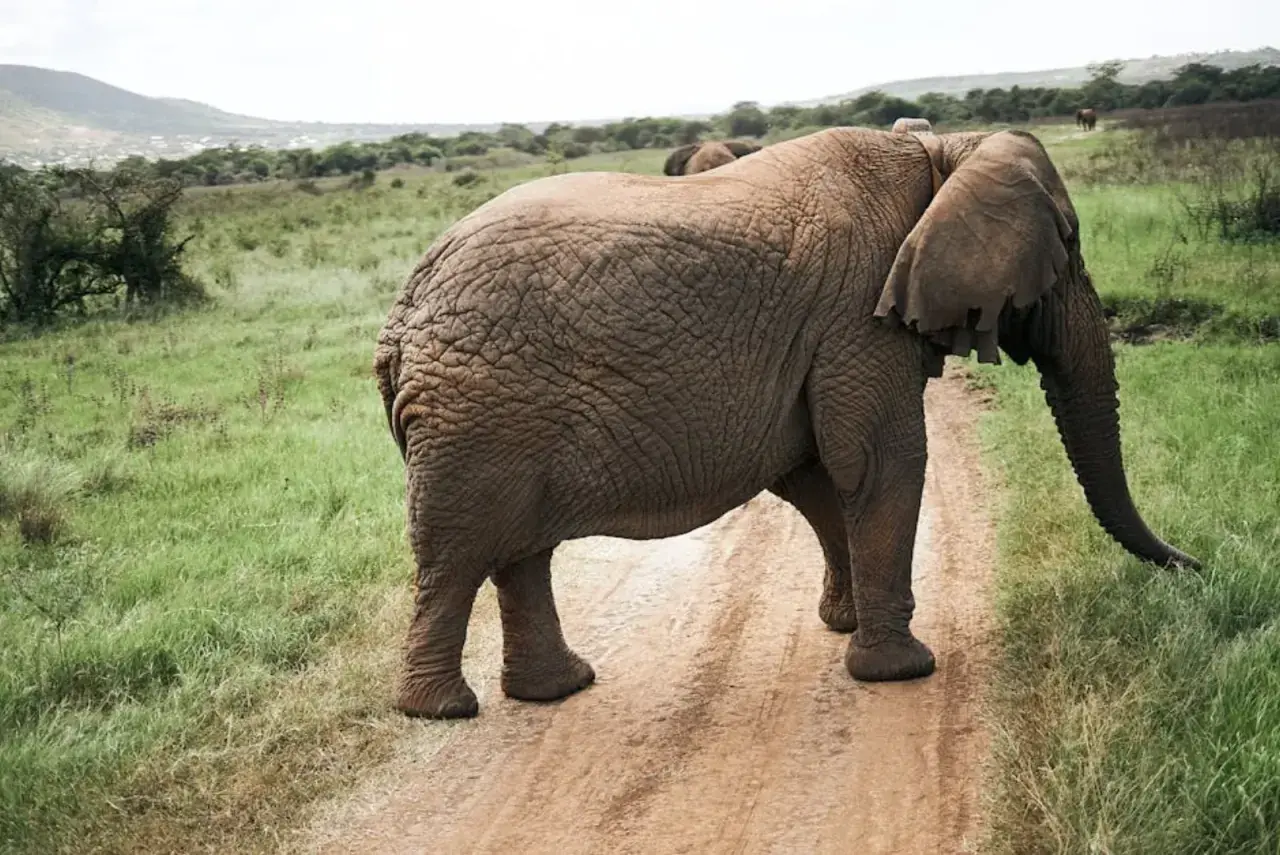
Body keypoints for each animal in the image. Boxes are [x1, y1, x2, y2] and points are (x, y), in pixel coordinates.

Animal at [374, 125, 1200, 719]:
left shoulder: (821, 338)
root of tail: (401, 314)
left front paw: (845, 626)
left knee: (520, 552)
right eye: (1070, 244)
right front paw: (901, 671)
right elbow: (881, 460)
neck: (939, 154)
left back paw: (557, 690)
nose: (1197, 567)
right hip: (476, 412)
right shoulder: (857, 315)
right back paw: (442, 711)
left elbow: (815, 474)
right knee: (458, 554)